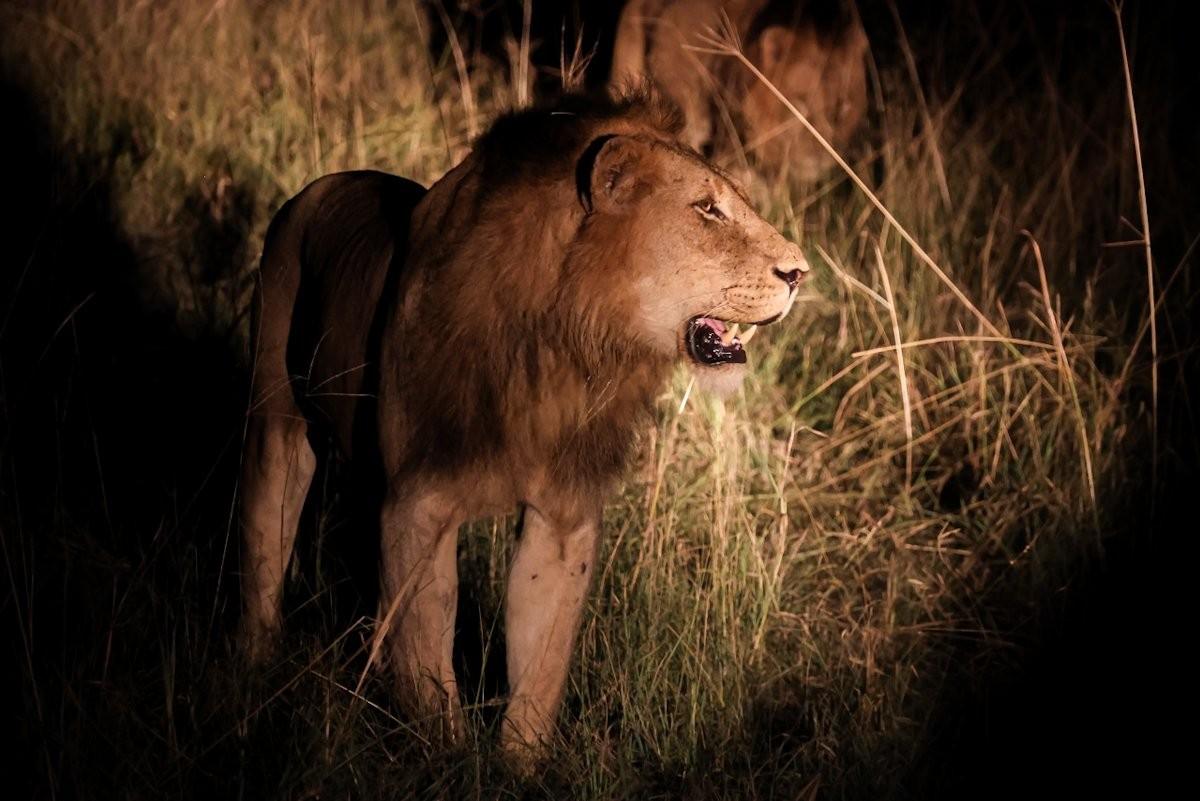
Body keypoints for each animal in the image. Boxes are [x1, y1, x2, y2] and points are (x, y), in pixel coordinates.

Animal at [237, 90, 808, 760]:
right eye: (707, 210)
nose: (800, 273)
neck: (567, 342)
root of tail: (317, 186)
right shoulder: (419, 500)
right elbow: (427, 652)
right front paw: (445, 757)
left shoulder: (563, 515)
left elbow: (540, 662)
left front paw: (518, 764)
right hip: (275, 416)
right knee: (267, 535)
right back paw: (252, 669)